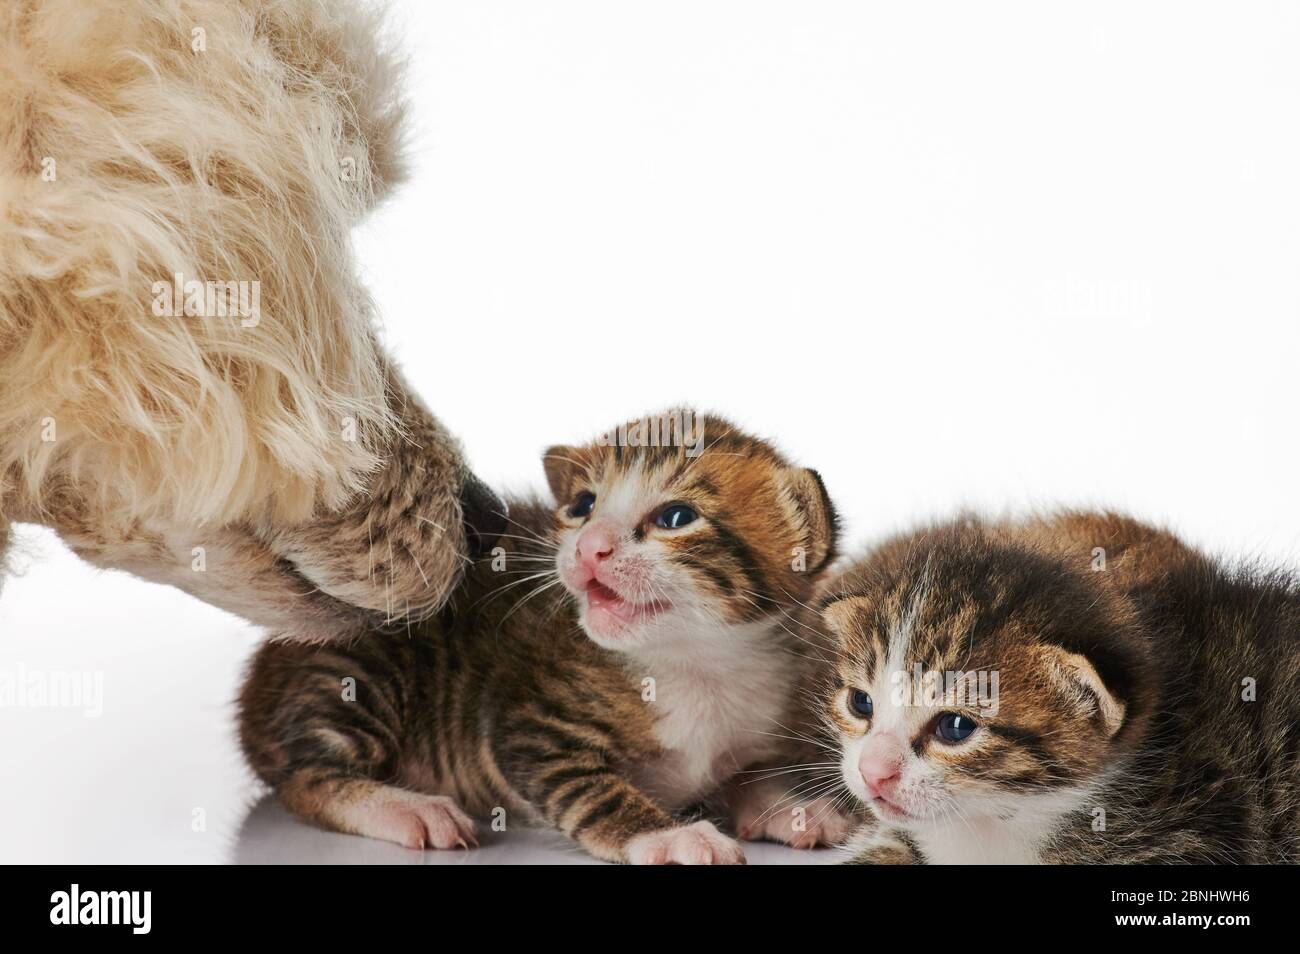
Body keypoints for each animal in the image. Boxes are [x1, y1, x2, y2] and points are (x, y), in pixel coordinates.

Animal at [240, 413, 857, 868]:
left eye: (677, 517)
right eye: (582, 506)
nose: (589, 546)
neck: (694, 660)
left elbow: (749, 774)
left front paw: (790, 807)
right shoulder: (529, 725)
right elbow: (591, 792)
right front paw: (672, 836)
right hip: (361, 671)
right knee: (305, 777)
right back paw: (405, 808)